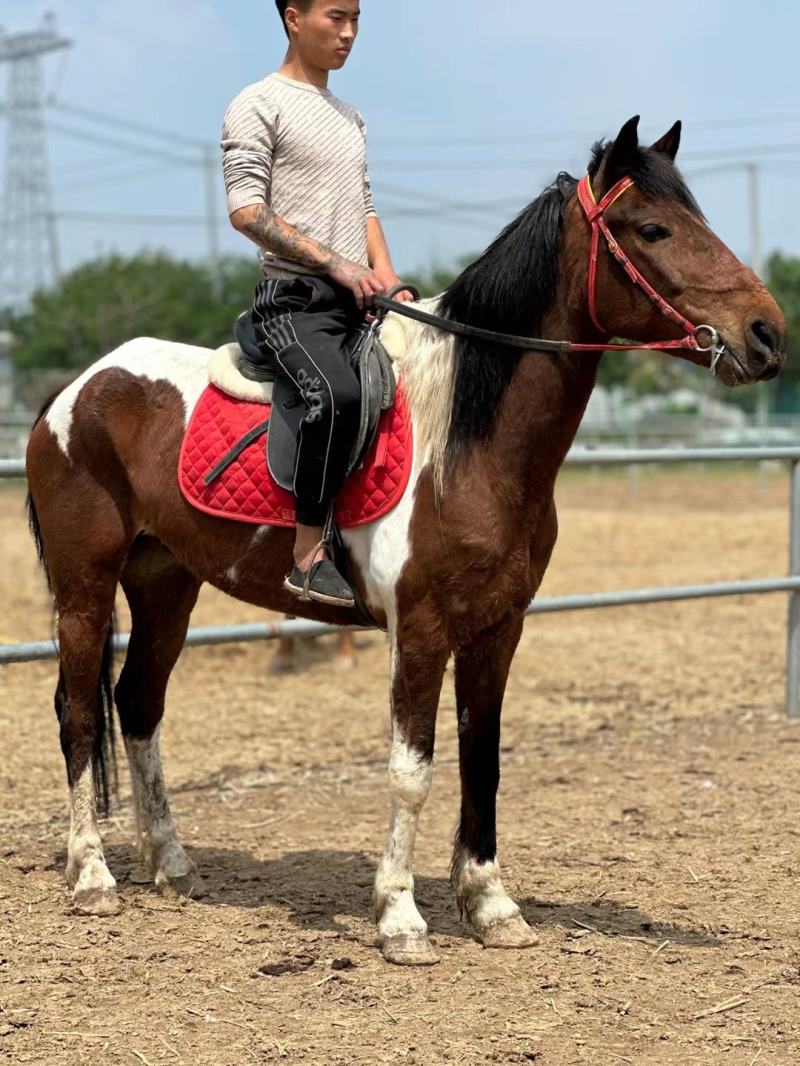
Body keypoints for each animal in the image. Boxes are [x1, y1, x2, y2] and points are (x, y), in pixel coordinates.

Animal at [24, 117, 785, 966]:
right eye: (653, 228)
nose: (767, 333)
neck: (467, 439)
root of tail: (77, 388)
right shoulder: (419, 631)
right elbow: (411, 770)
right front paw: (400, 917)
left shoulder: (498, 628)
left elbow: (482, 759)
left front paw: (491, 905)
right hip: (86, 587)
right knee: (79, 713)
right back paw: (93, 875)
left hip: (166, 585)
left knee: (138, 704)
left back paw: (172, 864)